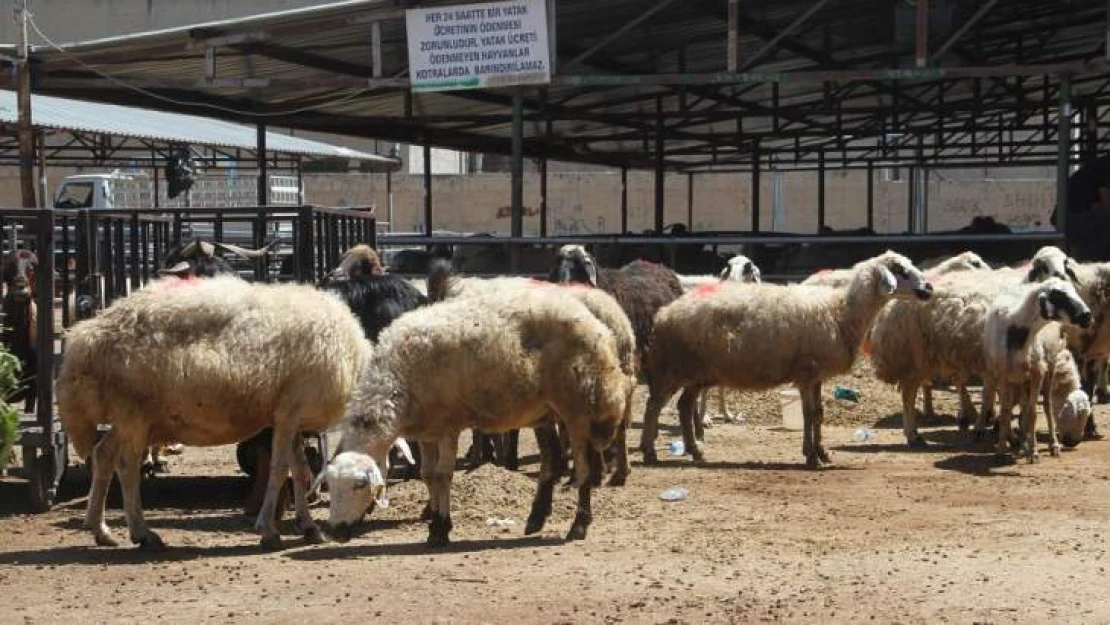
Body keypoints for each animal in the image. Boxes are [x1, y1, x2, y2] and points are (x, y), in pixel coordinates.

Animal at [58, 276, 370, 550]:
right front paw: (268, 531)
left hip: (132, 419)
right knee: (127, 466)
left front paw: (308, 527)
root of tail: (85, 337)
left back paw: (100, 530)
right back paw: (143, 533)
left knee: (103, 455)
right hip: (132, 411)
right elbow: (280, 470)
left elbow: (301, 471)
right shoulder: (288, 413)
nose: (346, 532)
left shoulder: (291, 418)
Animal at [321, 286, 634, 546]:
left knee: (582, 467)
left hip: (578, 408)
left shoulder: (448, 425)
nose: (335, 532)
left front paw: (441, 528)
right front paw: (434, 523)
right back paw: (536, 519)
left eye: (360, 484)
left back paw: (579, 525)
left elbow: (443, 475)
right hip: (545, 411)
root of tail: (598, 324)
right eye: (329, 485)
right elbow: (427, 475)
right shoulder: (427, 430)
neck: (397, 380)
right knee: (552, 461)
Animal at [643, 251, 936, 466]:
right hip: (674, 367)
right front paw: (811, 456)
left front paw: (822, 452)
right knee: (654, 405)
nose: (929, 288)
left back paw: (696, 451)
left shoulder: (816, 376)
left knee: (683, 406)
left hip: (697, 372)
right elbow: (808, 414)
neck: (840, 312)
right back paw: (649, 451)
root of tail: (665, 313)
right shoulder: (806, 373)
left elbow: (818, 413)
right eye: (900, 270)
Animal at [985, 278, 1087, 464]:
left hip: (1049, 366)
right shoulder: (1003, 374)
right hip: (1019, 377)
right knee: (1023, 406)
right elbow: (1006, 411)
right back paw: (1021, 443)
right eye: (1059, 295)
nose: (1087, 316)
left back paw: (1051, 445)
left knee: (1046, 404)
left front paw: (1033, 452)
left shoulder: (1037, 372)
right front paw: (1001, 450)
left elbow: (1032, 412)